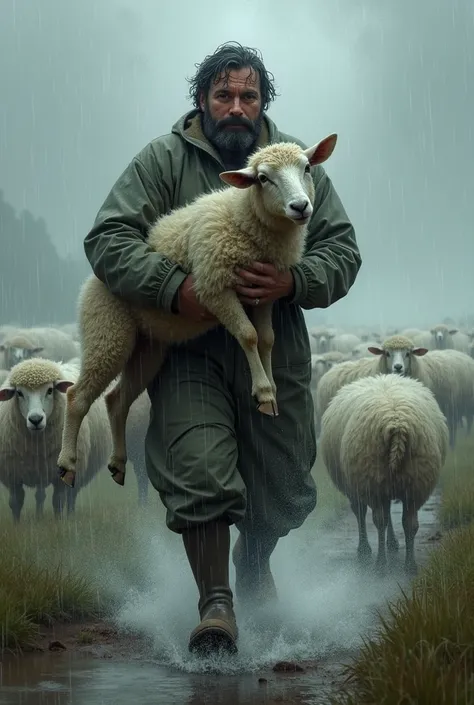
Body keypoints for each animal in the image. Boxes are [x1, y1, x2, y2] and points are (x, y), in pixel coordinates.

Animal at [0, 360, 112, 520]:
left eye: (50, 390)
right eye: (19, 393)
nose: (35, 419)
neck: (36, 442)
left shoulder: (58, 474)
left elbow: (58, 501)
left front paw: (60, 523)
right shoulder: (13, 475)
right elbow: (15, 503)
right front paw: (17, 524)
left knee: (71, 495)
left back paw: (70, 516)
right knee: (40, 495)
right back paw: (39, 516)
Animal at [57, 132, 338, 486]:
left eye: (307, 168)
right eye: (263, 178)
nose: (300, 207)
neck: (245, 218)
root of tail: (91, 283)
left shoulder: (265, 293)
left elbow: (267, 339)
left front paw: (272, 390)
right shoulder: (214, 286)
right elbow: (247, 335)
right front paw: (262, 390)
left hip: (147, 349)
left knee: (116, 400)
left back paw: (119, 462)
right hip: (107, 332)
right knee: (77, 397)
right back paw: (67, 463)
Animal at [318, 374, 448, 572]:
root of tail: (396, 423)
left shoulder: (357, 487)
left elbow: (360, 512)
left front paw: (364, 549)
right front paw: (391, 543)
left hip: (373, 479)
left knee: (379, 520)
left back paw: (380, 564)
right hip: (416, 479)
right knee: (409, 523)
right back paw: (409, 565)